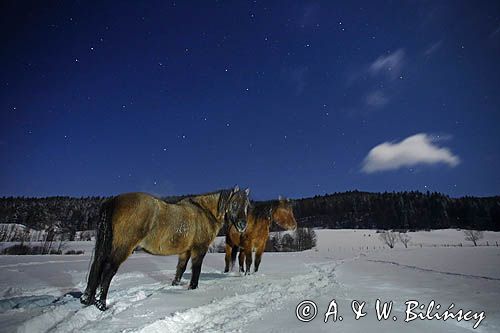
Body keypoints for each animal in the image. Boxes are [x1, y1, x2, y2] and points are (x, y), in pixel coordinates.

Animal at [80, 185, 250, 310]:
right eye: (234, 203)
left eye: (247, 206)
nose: (243, 225)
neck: (204, 212)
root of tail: (114, 200)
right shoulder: (199, 249)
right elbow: (196, 270)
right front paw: (193, 289)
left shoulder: (185, 251)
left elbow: (180, 270)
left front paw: (175, 286)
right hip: (123, 247)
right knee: (108, 270)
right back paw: (102, 305)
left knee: (97, 266)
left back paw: (88, 299)